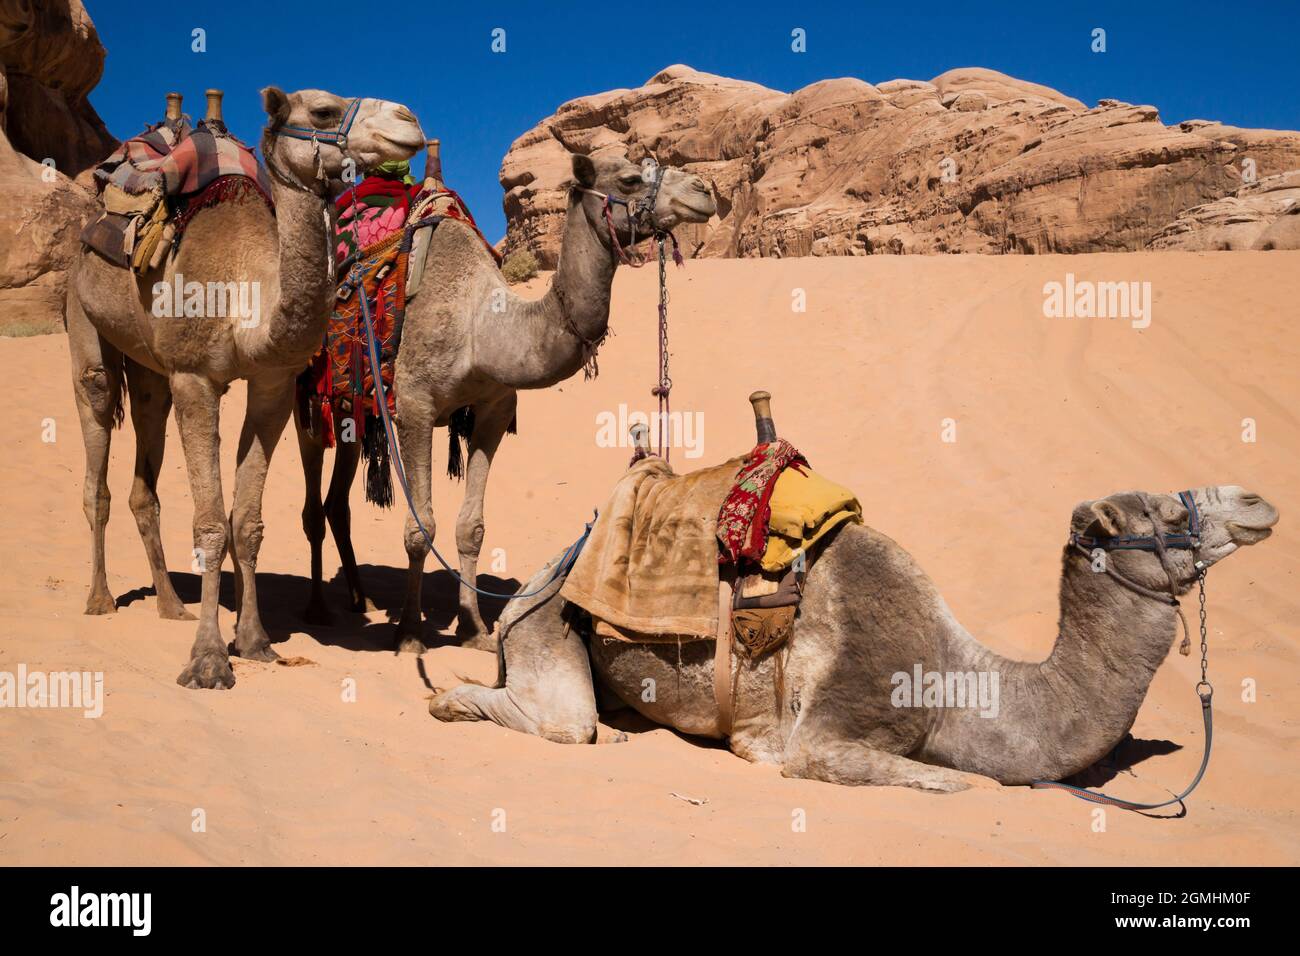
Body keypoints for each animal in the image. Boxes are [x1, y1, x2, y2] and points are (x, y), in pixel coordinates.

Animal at [66, 87, 424, 689]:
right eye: (323, 111)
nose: (410, 120)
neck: (245, 291)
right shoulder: (195, 378)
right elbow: (211, 523)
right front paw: (208, 659)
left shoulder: (271, 386)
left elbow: (247, 523)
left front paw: (255, 641)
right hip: (84, 322)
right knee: (96, 439)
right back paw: (98, 599)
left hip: (151, 371)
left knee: (145, 462)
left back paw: (170, 605)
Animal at [296, 151, 717, 651]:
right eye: (631, 178)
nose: (703, 191)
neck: (481, 327)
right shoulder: (415, 406)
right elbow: (421, 528)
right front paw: (410, 633)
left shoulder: (493, 412)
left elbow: (471, 528)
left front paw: (473, 628)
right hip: (307, 398)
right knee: (312, 503)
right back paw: (318, 607)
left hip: (354, 411)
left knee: (337, 502)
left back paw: (358, 599)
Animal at [429, 484, 1279, 791]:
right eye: (1165, 512)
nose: (1257, 502)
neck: (955, 682)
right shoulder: (836, 723)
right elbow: (952, 783)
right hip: (545, 619)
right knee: (564, 723)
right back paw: (449, 701)